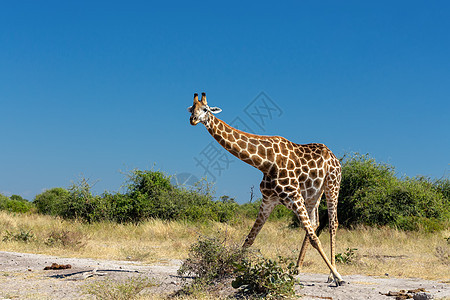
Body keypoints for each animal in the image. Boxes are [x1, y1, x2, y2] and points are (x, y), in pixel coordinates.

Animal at [186, 92, 344, 284]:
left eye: (206, 109)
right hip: (314, 194)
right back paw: (297, 269)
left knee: (332, 223)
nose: (193, 120)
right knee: (315, 223)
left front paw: (338, 276)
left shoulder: (294, 195)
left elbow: (315, 239)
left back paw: (331, 274)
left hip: (332, 184)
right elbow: (249, 239)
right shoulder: (268, 200)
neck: (265, 162)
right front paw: (229, 268)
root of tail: (334, 158)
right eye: (191, 109)